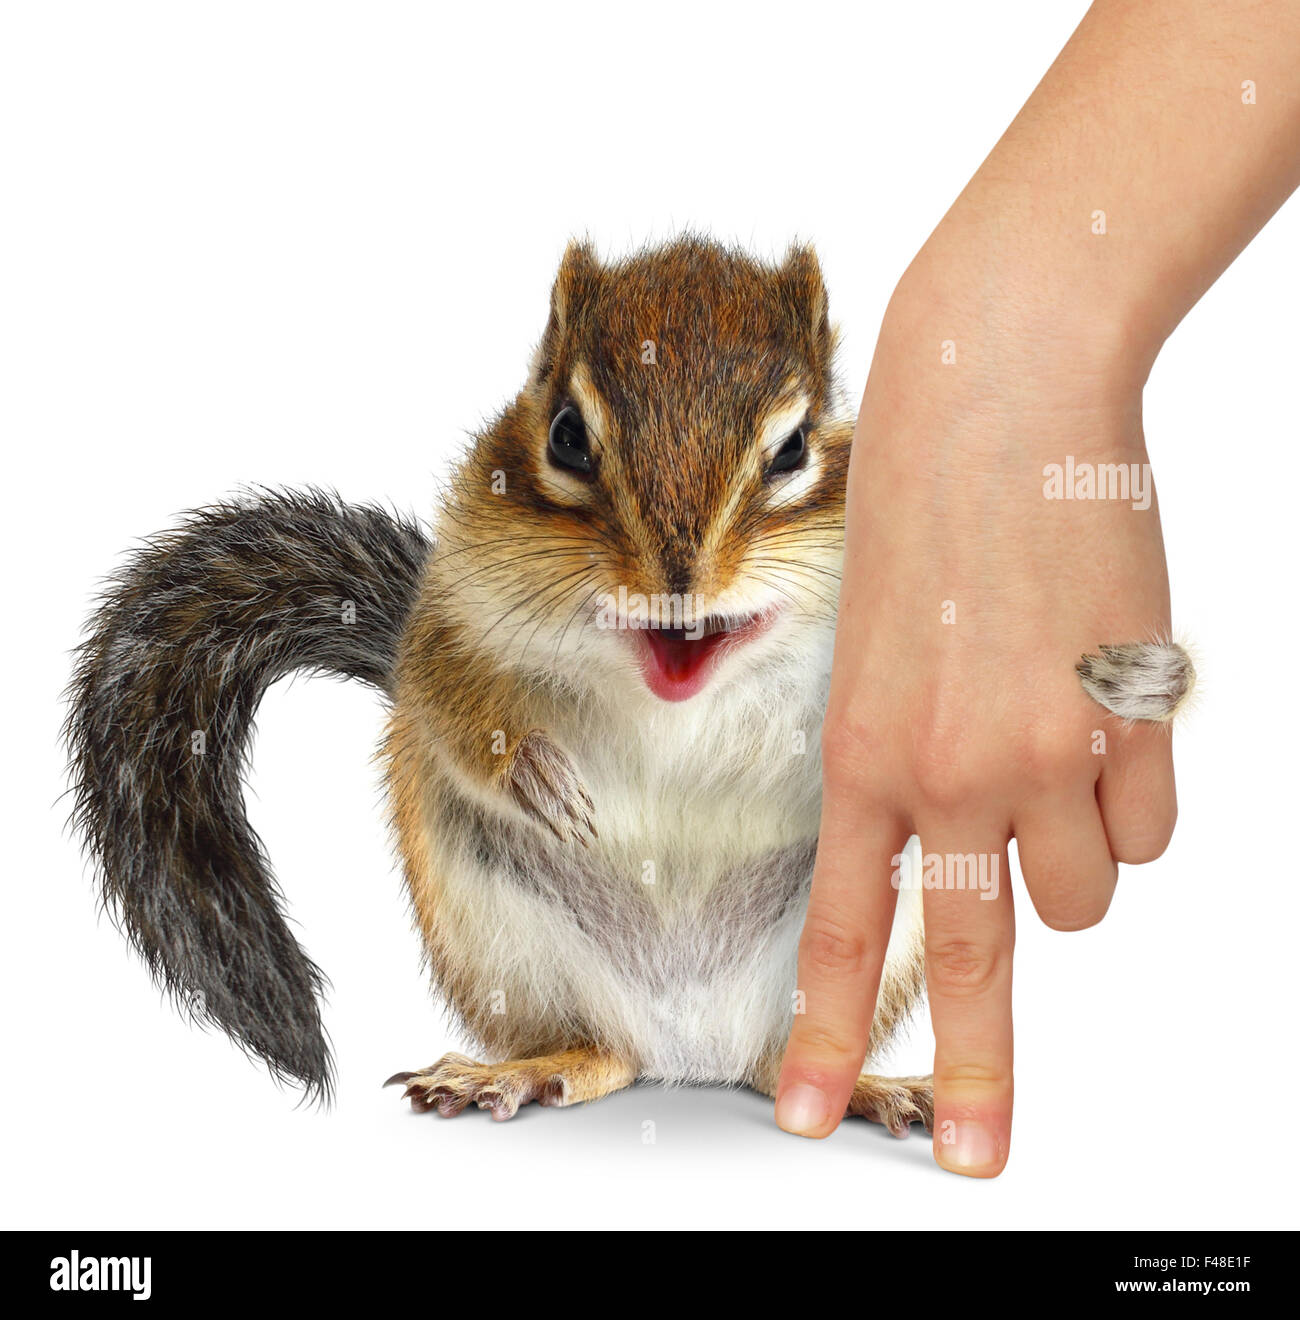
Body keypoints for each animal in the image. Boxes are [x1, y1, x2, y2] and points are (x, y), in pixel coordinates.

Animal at [66, 236, 1194, 1132]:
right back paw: (518, 1073)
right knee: (597, 1051)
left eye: (795, 447)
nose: (678, 577)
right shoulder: (453, 606)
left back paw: (871, 1089)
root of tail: (690, 1051)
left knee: (775, 1067)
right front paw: (532, 772)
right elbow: (441, 692)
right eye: (567, 435)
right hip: (506, 941)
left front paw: (1132, 679)